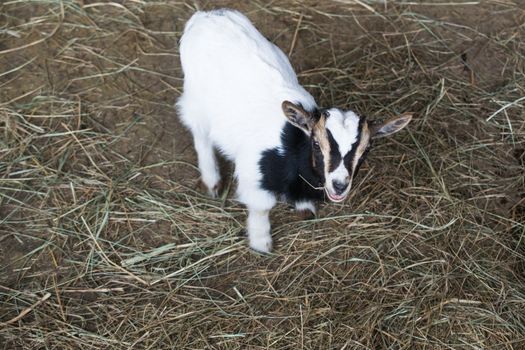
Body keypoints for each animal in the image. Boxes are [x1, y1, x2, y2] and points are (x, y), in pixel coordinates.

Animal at [178, 9, 412, 253]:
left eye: (366, 151)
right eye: (316, 144)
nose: (339, 186)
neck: (293, 149)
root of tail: (207, 15)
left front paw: (304, 208)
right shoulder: (254, 175)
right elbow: (261, 207)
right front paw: (261, 243)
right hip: (195, 99)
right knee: (199, 132)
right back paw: (211, 180)